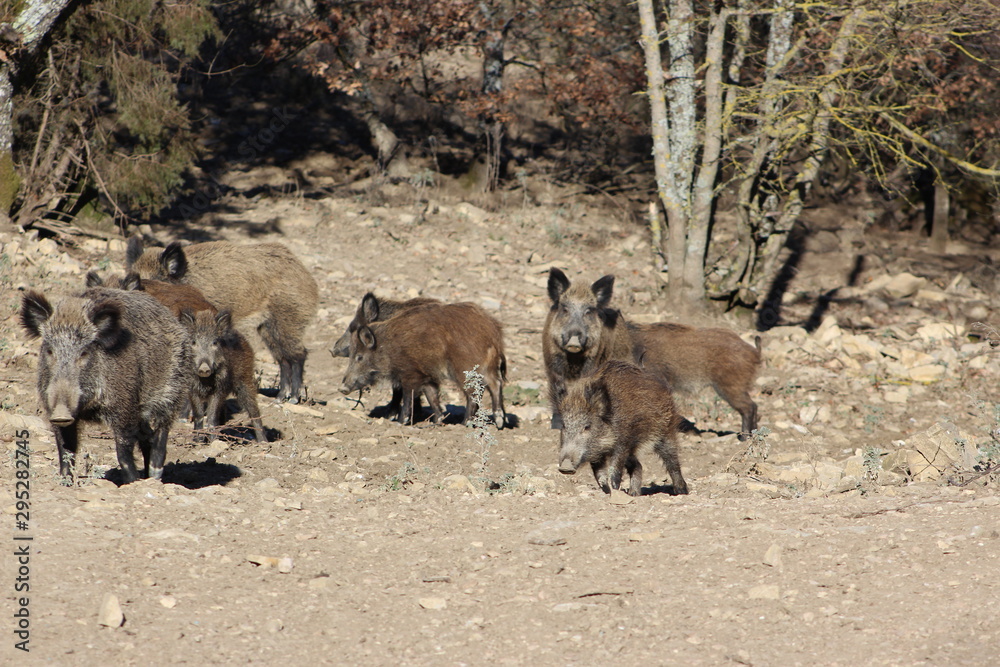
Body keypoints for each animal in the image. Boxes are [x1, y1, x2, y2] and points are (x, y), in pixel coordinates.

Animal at [20, 288, 193, 484]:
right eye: (50, 351)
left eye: (84, 352)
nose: (61, 414)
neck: (90, 407)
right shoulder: (53, 409)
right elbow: (65, 449)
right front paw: (65, 482)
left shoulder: (125, 405)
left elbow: (123, 449)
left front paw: (132, 482)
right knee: (146, 436)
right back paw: (149, 477)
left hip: (174, 387)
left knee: (162, 429)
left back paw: (155, 475)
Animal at [125, 236, 318, 403]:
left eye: (155, 281)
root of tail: (307, 276)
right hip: (267, 328)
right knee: (283, 359)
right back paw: (280, 398)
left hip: (288, 318)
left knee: (299, 355)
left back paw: (293, 399)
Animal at [180, 308, 267, 443]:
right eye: (193, 342)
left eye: (215, 342)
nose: (204, 368)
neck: (205, 381)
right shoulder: (192, 390)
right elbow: (199, 414)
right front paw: (197, 441)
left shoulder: (220, 389)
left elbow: (211, 416)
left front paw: (213, 441)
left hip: (245, 380)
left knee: (253, 410)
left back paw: (263, 442)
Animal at [340, 299, 507, 428]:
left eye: (359, 357)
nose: (342, 388)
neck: (387, 347)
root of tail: (493, 333)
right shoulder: (426, 377)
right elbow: (432, 397)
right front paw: (437, 422)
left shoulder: (410, 375)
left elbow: (408, 397)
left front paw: (399, 423)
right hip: (488, 367)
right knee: (495, 384)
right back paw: (499, 423)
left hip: (465, 369)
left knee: (474, 393)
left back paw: (464, 424)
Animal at [558, 360, 688, 496]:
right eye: (564, 425)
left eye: (587, 426)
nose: (565, 467)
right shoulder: (597, 453)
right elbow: (599, 474)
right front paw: (608, 492)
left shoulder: (623, 441)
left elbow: (615, 467)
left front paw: (615, 490)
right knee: (638, 466)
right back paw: (634, 494)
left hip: (666, 430)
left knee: (672, 460)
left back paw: (681, 491)